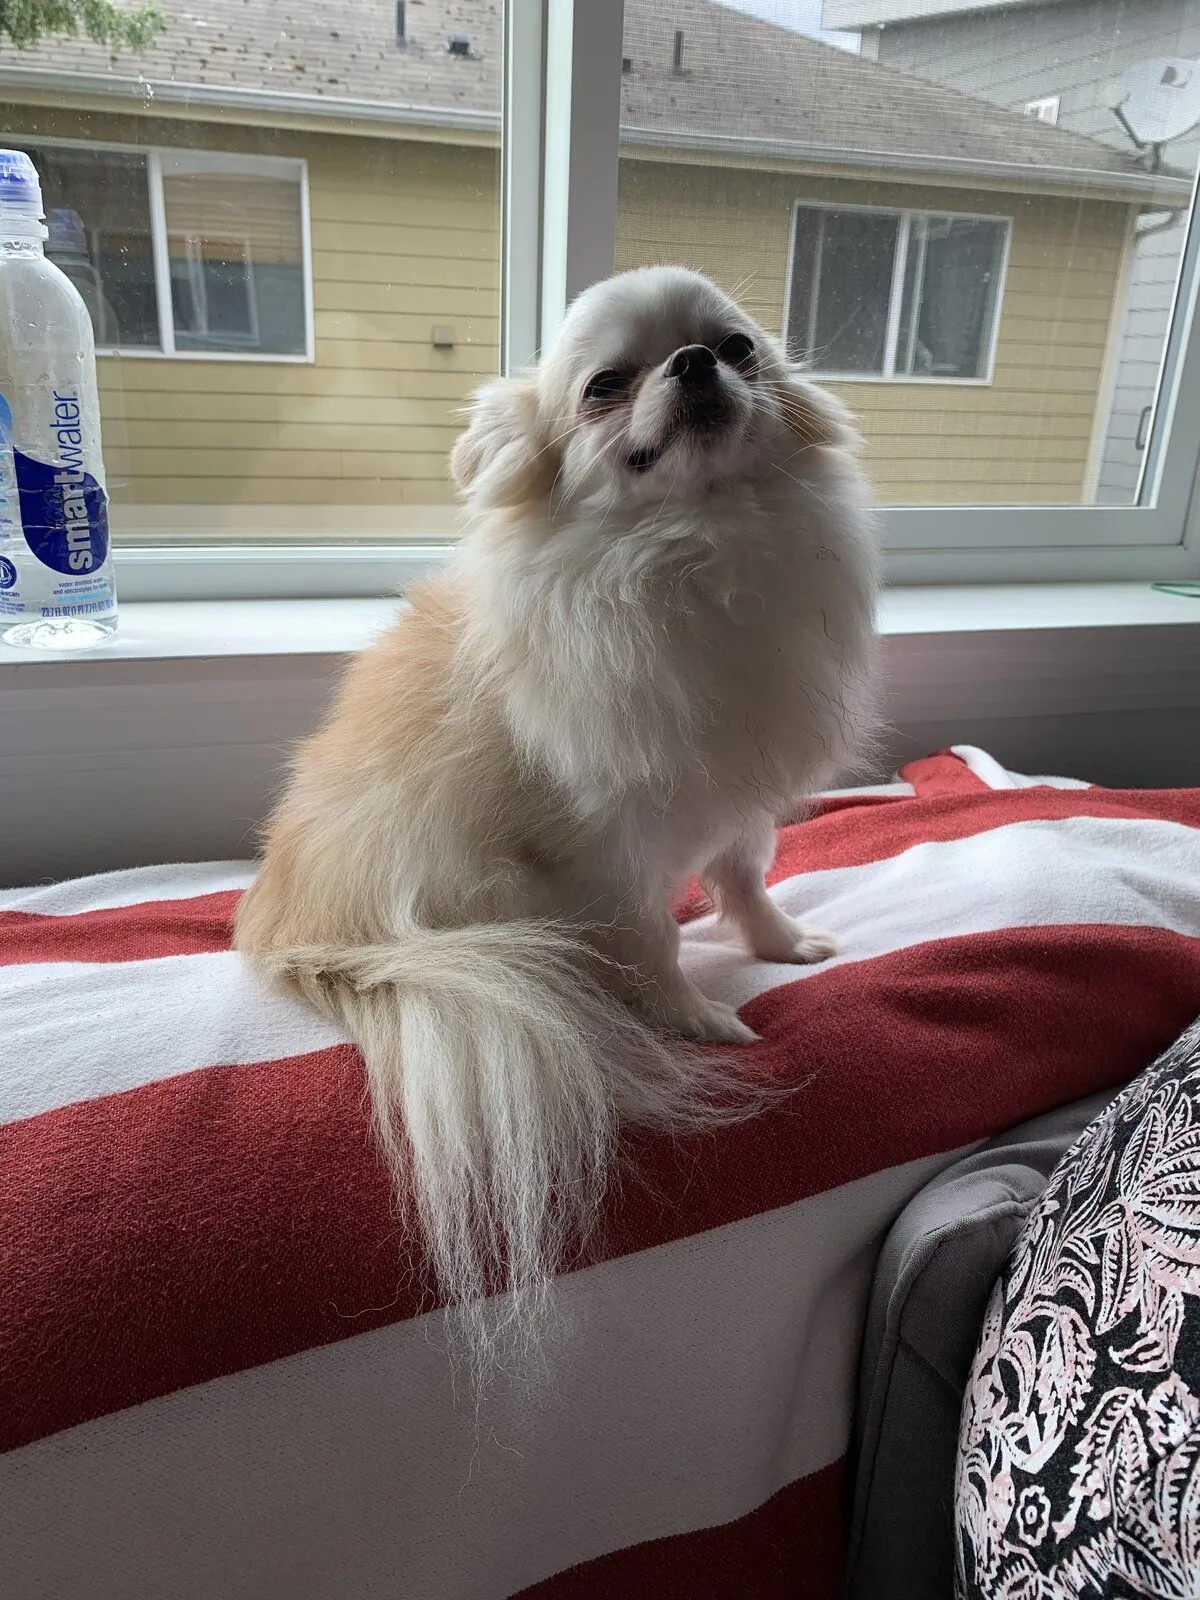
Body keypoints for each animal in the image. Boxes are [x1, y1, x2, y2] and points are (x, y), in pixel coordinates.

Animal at [235, 265, 879, 1370]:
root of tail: (291, 931)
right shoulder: (607, 844)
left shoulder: (737, 800)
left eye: (738, 348)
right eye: (605, 387)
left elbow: (745, 872)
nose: (694, 365)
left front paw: (779, 943)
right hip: (483, 888)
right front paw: (693, 1015)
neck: (691, 544)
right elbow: (655, 939)